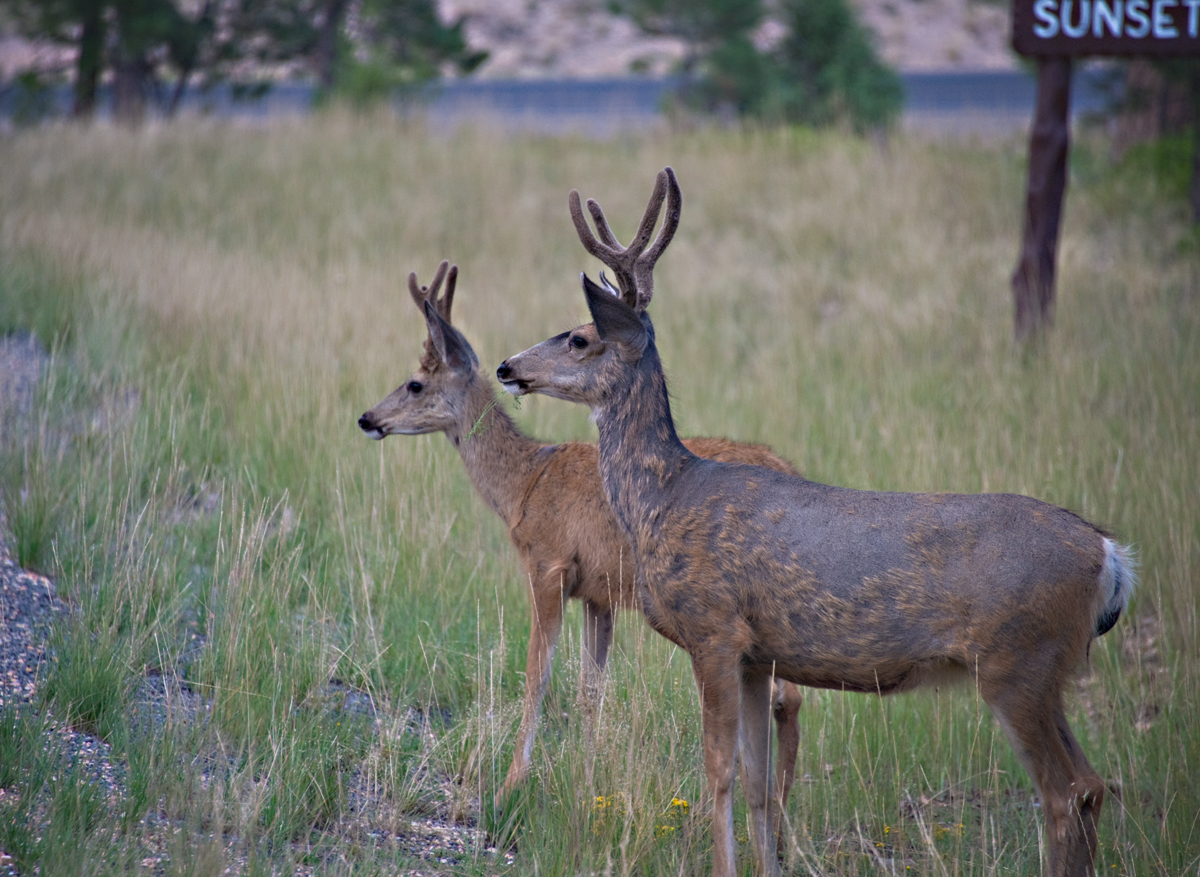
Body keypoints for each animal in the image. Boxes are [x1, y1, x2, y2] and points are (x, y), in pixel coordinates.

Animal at [357, 259, 806, 811]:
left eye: (416, 384)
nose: (367, 418)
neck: (524, 482)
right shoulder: (599, 593)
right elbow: (591, 690)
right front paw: (588, 781)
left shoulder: (547, 563)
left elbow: (538, 675)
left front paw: (511, 784)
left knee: (782, 693)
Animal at [496, 170, 1132, 877]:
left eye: (580, 336)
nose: (507, 367)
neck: (663, 500)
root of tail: (1109, 555)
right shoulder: (754, 654)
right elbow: (754, 780)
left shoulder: (713, 628)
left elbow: (718, 772)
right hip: (1045, 670)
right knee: (1092, 787)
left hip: (1017, 661)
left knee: (1066, 791)